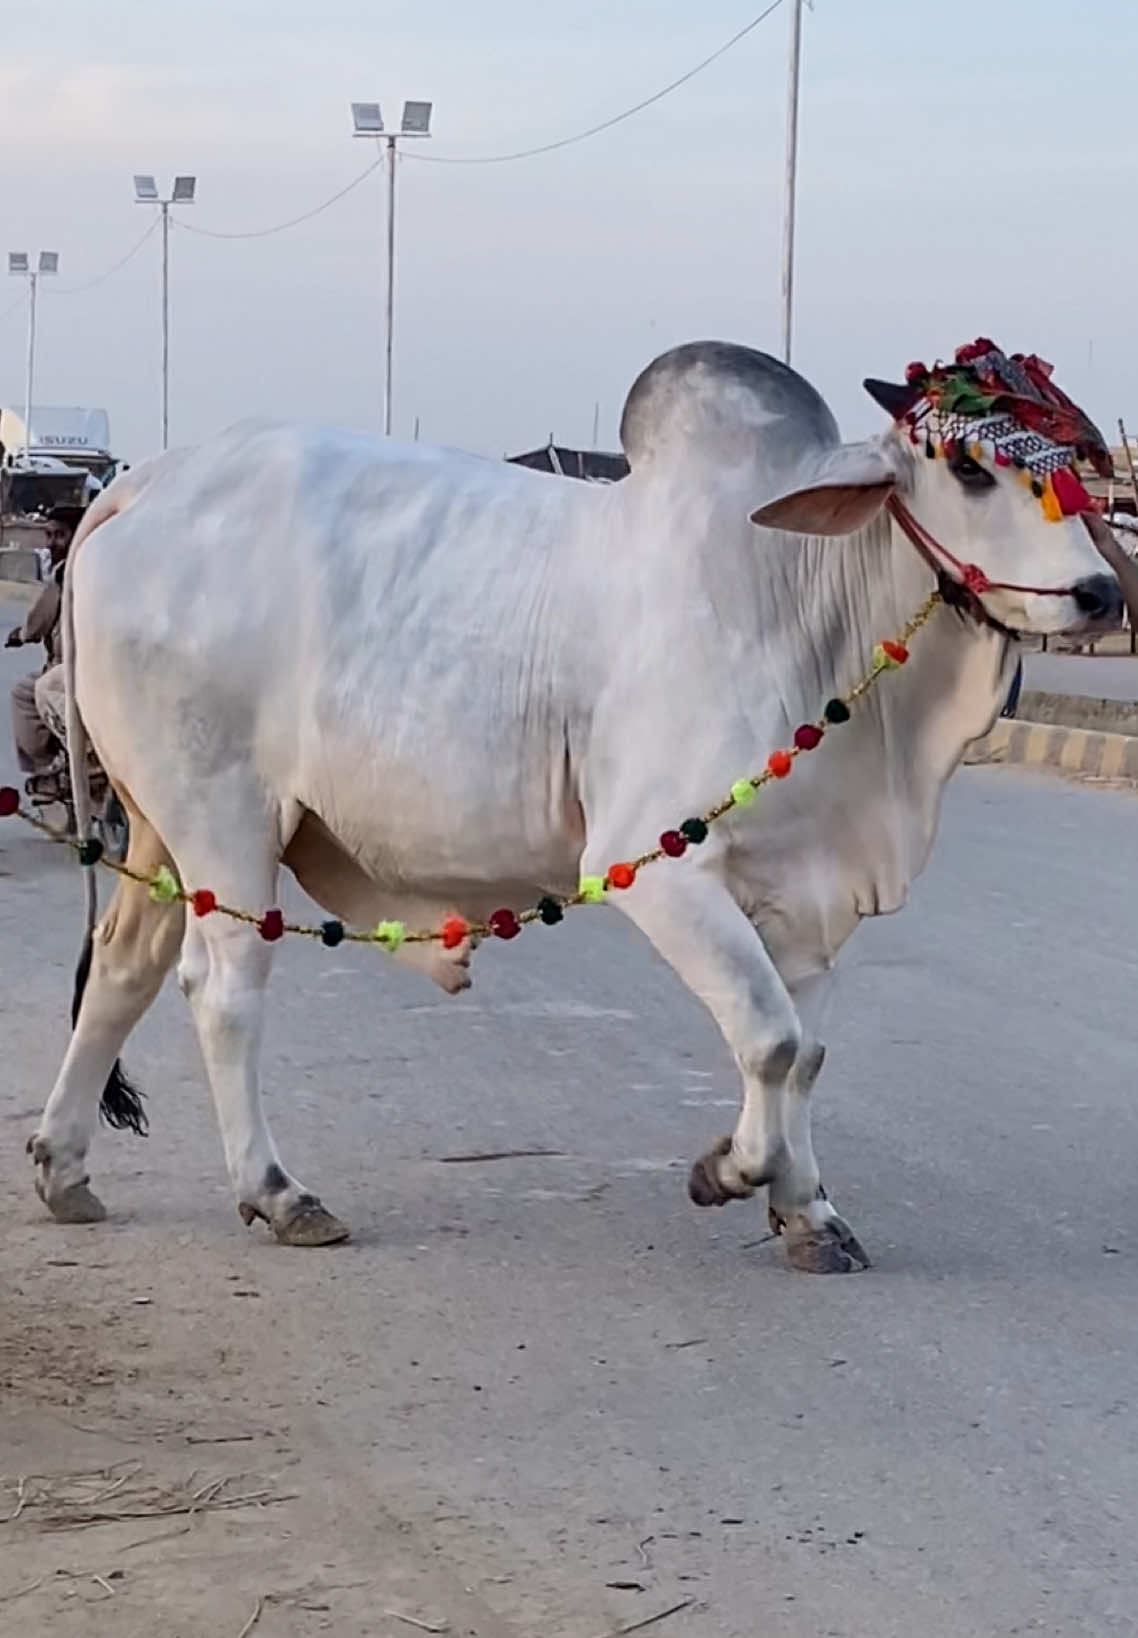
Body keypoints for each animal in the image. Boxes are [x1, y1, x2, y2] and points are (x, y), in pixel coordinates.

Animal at [26, 339, 1126, 1272]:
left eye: (1072, 465)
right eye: (972, 470)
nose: (1101, 594)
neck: (796, 599)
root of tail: (141, 485)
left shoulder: (808, 895)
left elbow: (801, 1050)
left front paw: (805, 1208)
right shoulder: (656, 863)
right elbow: (771, 1040)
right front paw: (731, 1170)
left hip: (163, 824)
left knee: (122, 968)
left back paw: (64, 1165)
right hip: (223, 816)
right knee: (223, 990)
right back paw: (276, 1191)